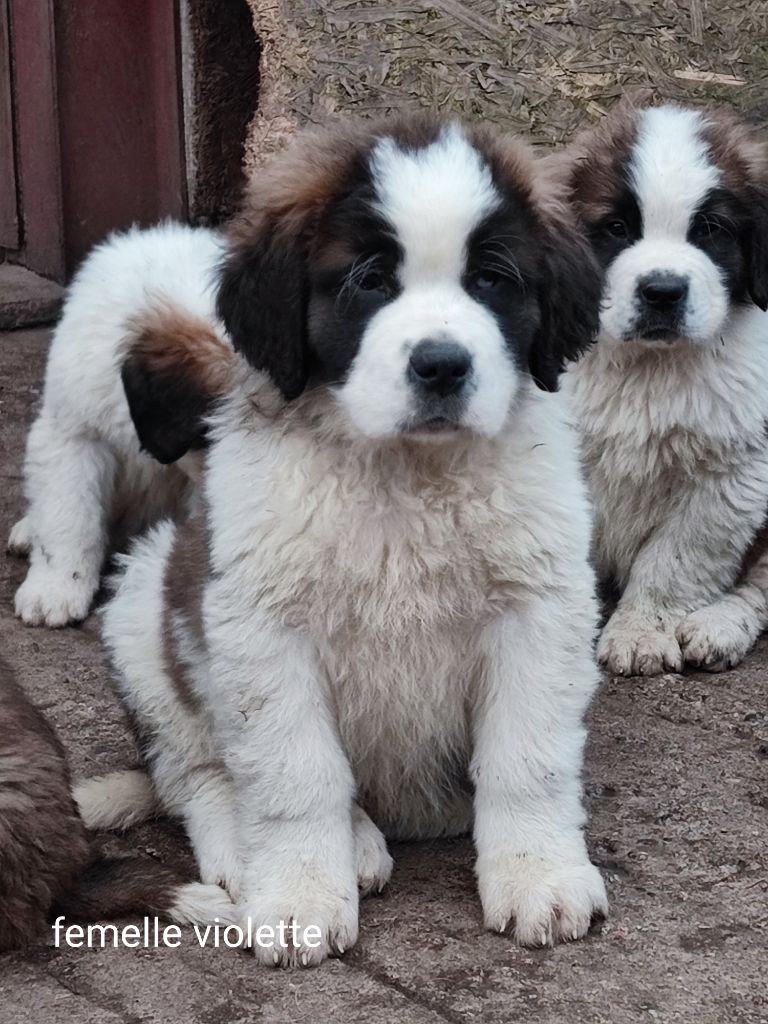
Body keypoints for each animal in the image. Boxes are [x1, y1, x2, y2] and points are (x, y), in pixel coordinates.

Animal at [85, 116, 614, 962]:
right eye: (369, 281)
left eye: (491, 279)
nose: (442, 366)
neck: (403, 474)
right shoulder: (262, 623)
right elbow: (295, 775)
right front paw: (298, 894)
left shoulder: (540, 605)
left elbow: (526, 758)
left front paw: (539, 874)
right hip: (146, 602)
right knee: (196, 772)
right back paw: (278, 846)